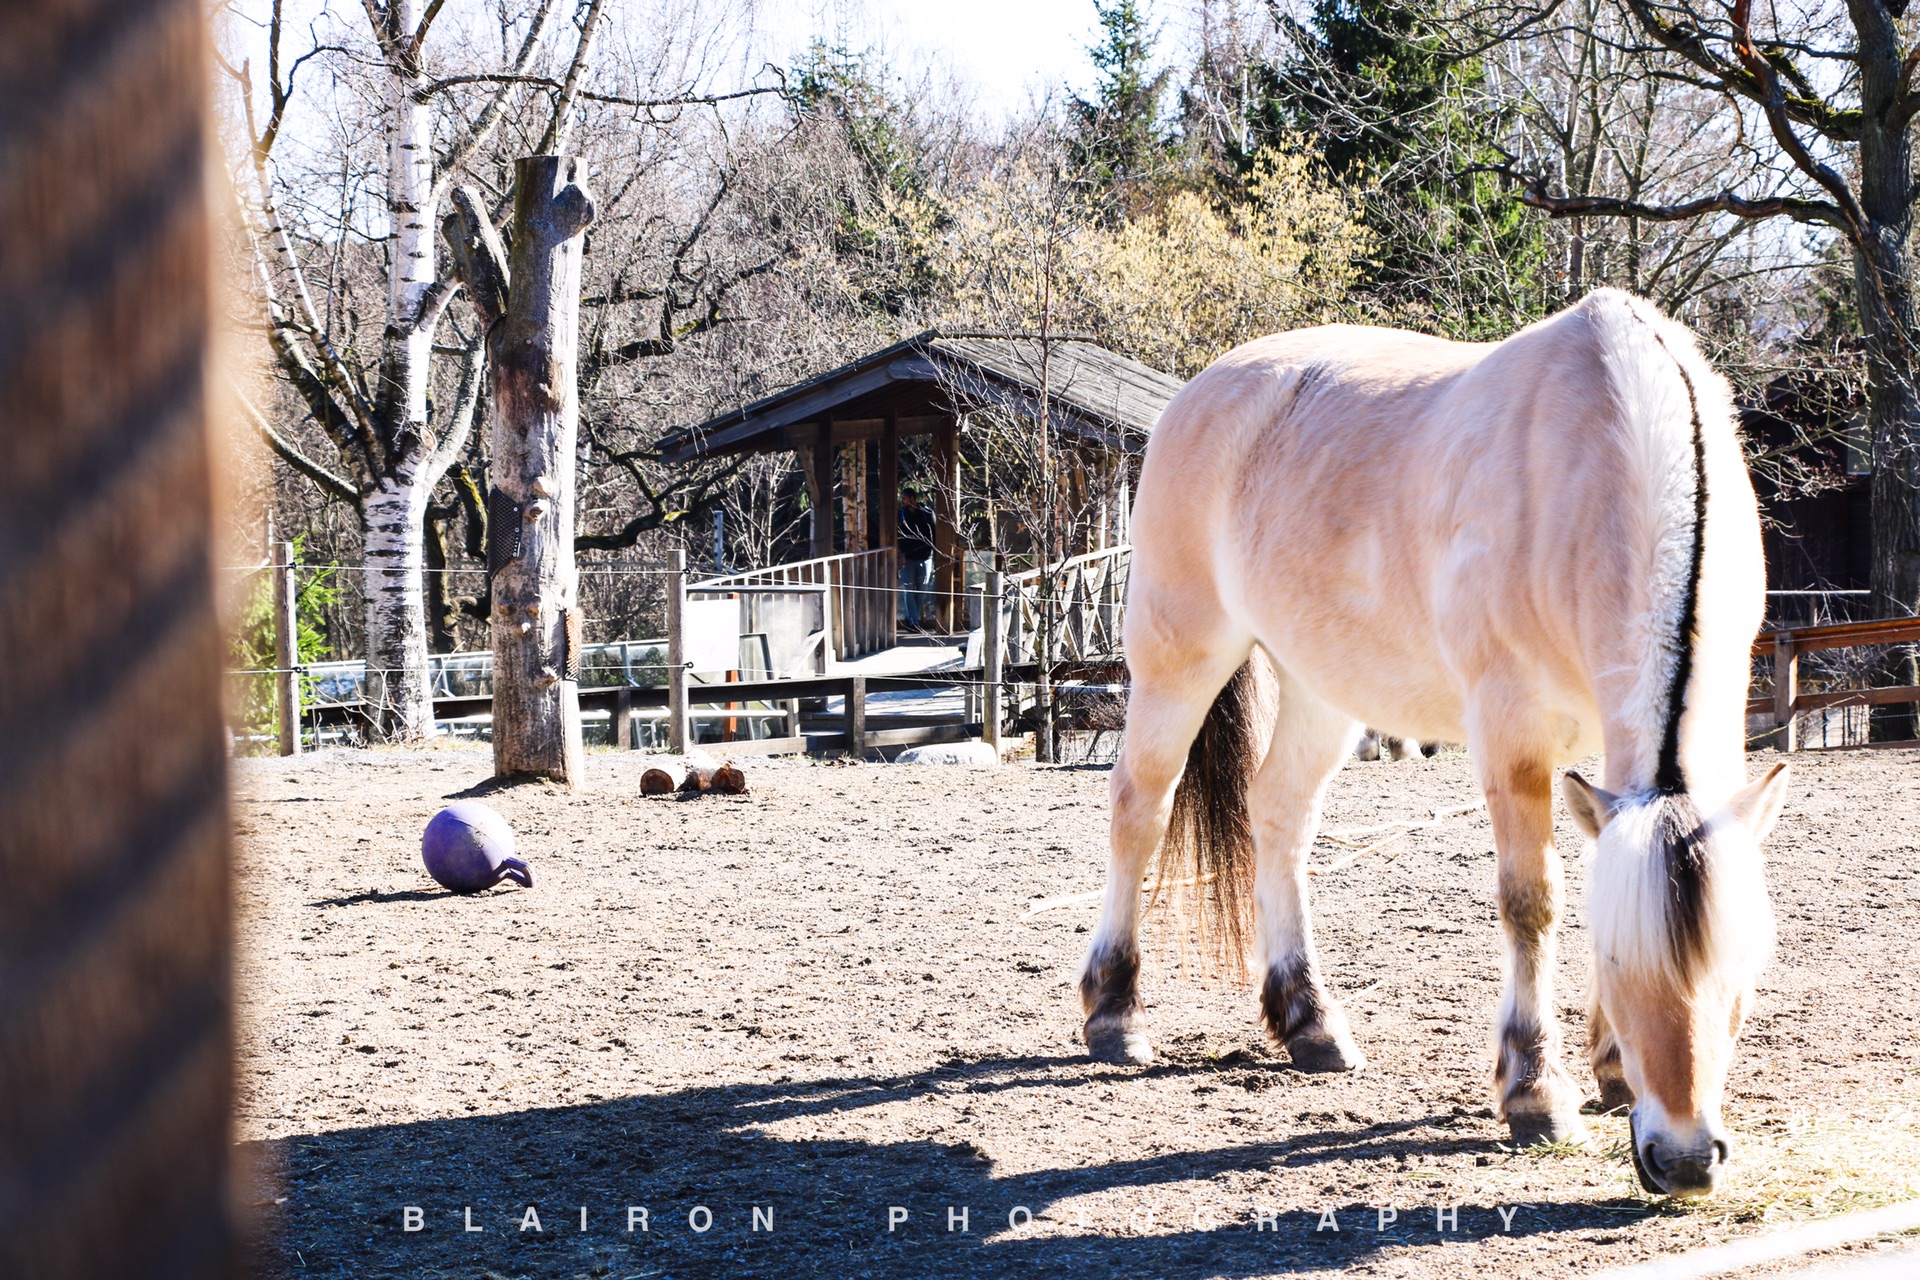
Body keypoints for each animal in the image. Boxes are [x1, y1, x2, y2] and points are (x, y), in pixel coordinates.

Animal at [1090, 289, 1789, 1205]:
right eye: (1612, 957)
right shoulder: (1510, 730)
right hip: (1180, 657)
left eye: (1744, 958)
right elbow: (1532, 903)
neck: (1608, 451)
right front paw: (1535, 1094)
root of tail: (1200, 393)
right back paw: (1114, 1014)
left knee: (1279, 818)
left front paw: (1611, 1072)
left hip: (1321, 687)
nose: (1685, 1160)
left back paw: (1311, 1022)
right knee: (1140, 809)